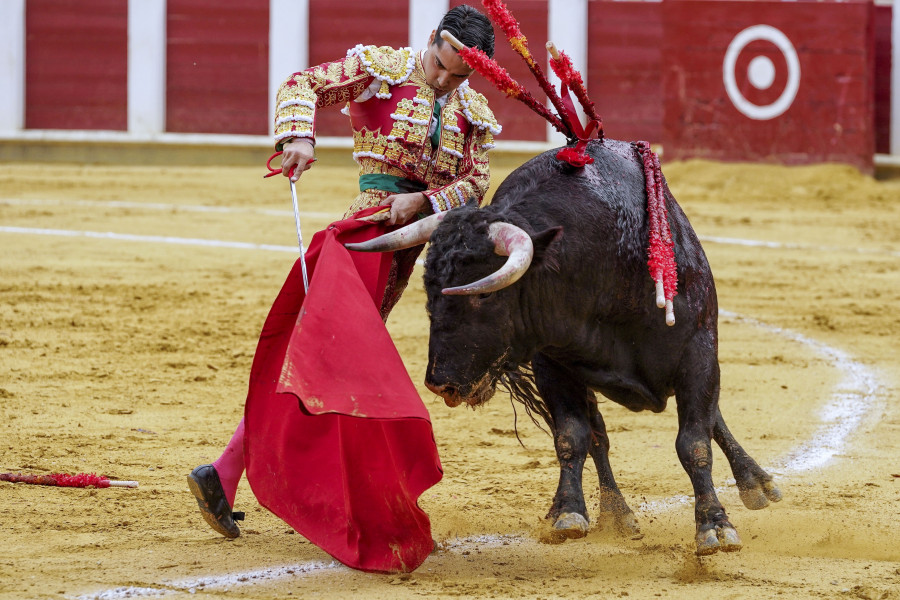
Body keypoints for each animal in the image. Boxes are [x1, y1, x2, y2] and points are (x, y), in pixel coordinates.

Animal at [348, 139, 784, 552]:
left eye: (484, 293)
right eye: (429, 287)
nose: (441, 383)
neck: (603, 261)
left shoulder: (698, 352)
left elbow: (694, 441)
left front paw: (715, 526)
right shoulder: (553, 363)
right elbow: (573, 436)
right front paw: (569, 512)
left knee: (709, 421)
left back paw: (757, 484)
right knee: (598, 436)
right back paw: (617, 514)